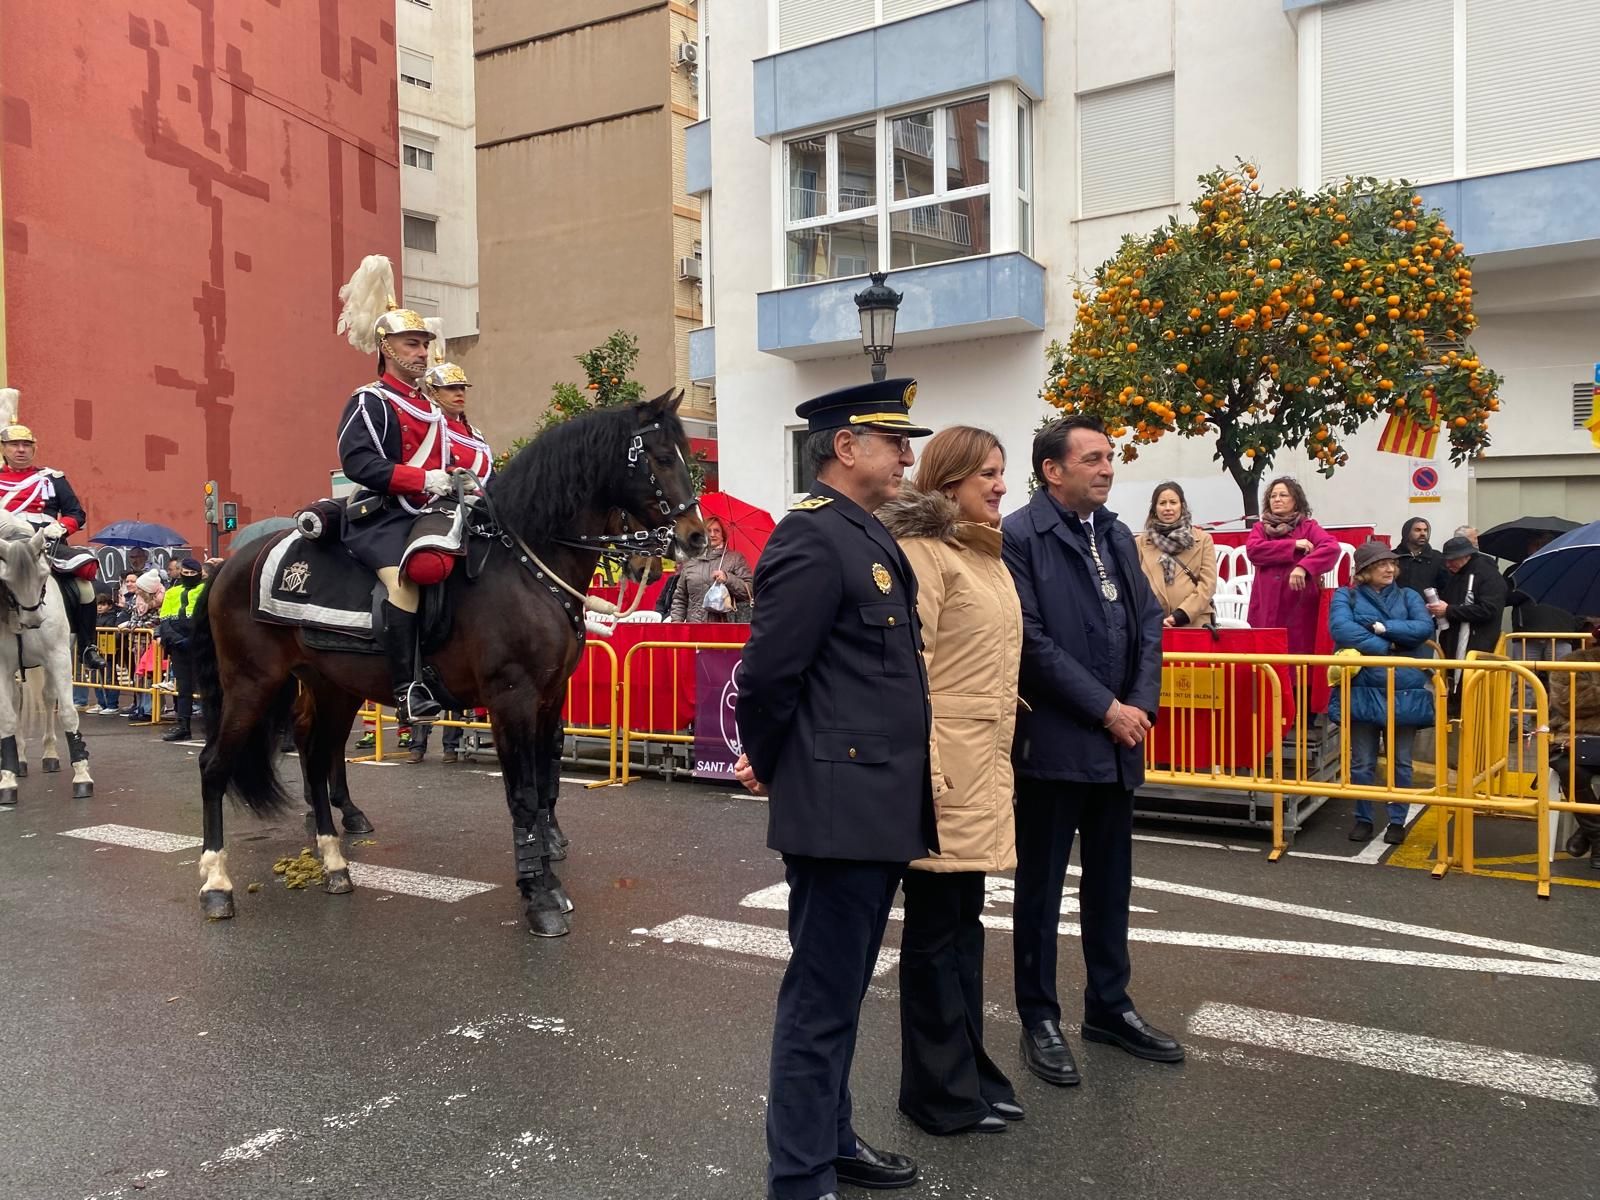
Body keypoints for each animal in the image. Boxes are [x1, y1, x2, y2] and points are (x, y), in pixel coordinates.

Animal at [0, 518, 91, 809]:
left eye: (43, 574)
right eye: (7, 580)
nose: (34, 621)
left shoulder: (59, 657)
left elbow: (67, 713)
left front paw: (82, 775)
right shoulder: (2, 666)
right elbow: (8, 718)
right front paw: (7, 779)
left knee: (49, 697)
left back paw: (50, 754)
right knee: (18, 700)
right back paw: (19, 760)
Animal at [190, 395, 704, 940]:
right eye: (661, 457)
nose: (697, 537)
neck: (526, 567)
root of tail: (229, 563)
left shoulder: (551, 698)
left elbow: (546, 781)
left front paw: (549, 869)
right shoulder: (511, 698)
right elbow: (523, 793)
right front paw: (539, 895)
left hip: (332, 687)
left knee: (313, 754)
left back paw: (333, 862)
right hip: (252, 683)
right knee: (215, 764)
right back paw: (217, 883)